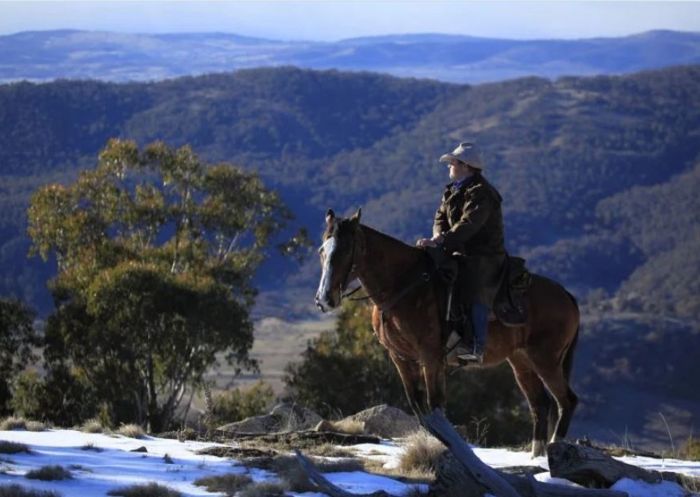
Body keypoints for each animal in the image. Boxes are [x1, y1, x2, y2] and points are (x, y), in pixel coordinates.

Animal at [316, 207, 580, 456]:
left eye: (346, 250)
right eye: (321, 251)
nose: (324, 300)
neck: (404, 285)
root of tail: (566, 295)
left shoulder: (431, 357)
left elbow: (435, 406)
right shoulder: (401, 358)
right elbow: (419, 407)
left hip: (546, 359)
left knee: (566, 400)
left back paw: (555, 448)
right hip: (521, 361)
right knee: (540, 404)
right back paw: (537, 456)